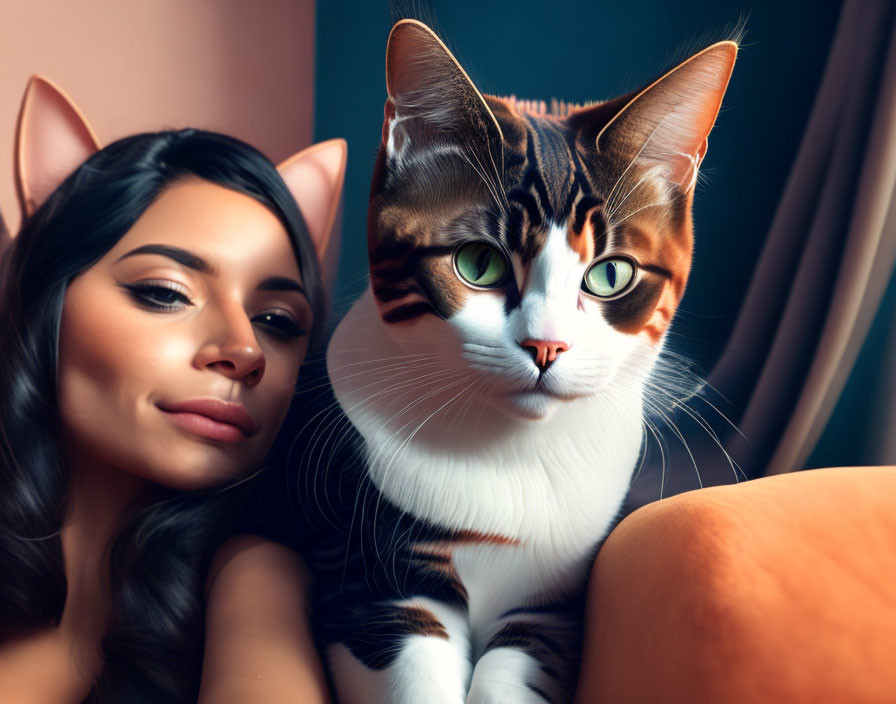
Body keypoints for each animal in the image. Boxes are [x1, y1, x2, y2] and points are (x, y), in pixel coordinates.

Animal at [300, 19, 736, 700]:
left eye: (610, 274)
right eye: (478, 263)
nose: (546, 346)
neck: (510, 455)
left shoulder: (556, 599)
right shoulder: (362, 570)